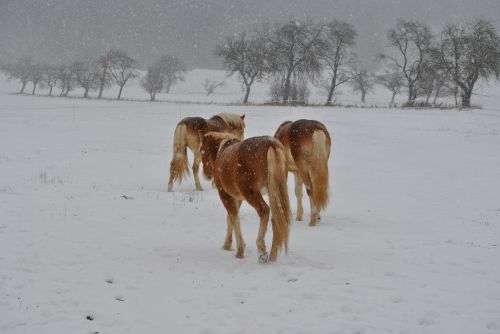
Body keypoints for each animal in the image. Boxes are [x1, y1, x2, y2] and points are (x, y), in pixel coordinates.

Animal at [200, 132, 292, 262]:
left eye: (202, 150)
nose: (205, 175)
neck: (222, 150)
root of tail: (271, 144)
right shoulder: (237, 198)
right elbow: (230, 218)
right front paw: (227, 244)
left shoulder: (225, 194)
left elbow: (234, 218)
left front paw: (240, 250)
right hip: (273, 191)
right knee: (277, 217)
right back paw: (273, 255)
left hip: (251, 193)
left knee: (264, 211)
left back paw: (261, 249)